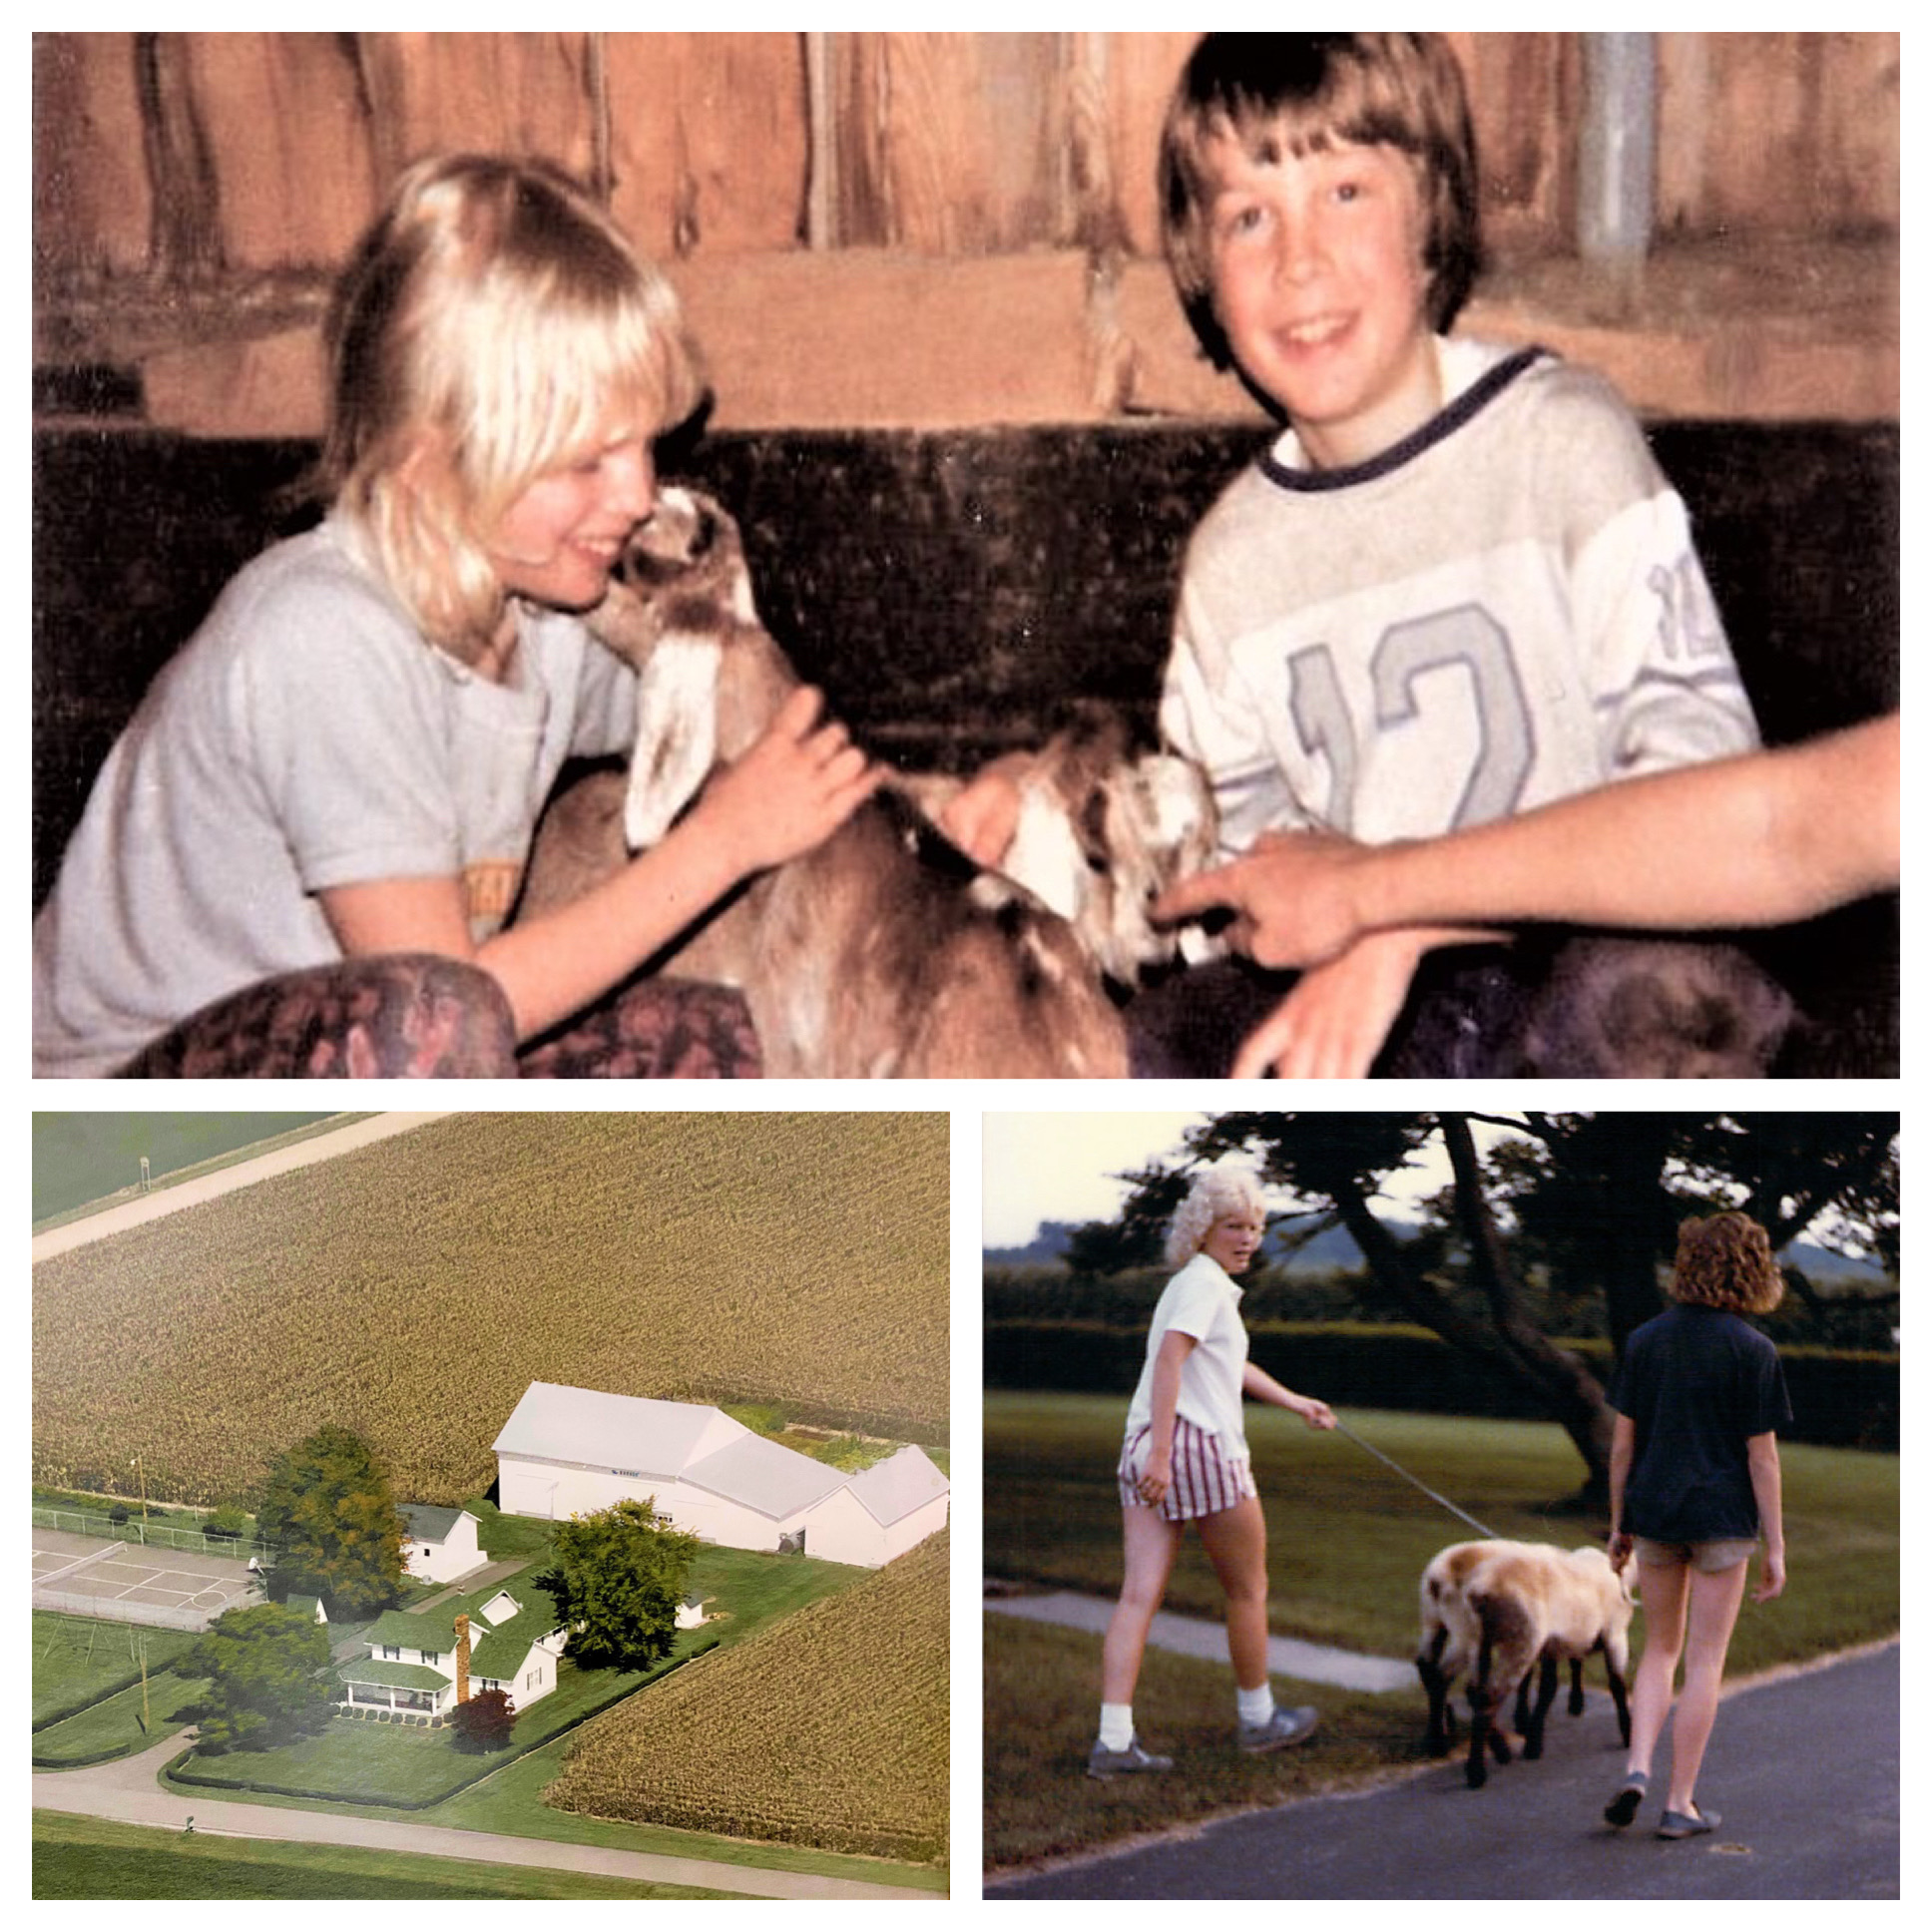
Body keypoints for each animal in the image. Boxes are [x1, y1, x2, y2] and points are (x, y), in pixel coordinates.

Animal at [1414, 1538, 1638, 1792]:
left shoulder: (1552, 1643)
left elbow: (1549, 1685)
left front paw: (1535, 1729)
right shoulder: (1615, 1634)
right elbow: (1617, 1686)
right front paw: (1627, 1733)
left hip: (1455, 1629)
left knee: (1441, 1676)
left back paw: (1439, 1742)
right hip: (1514, 1635)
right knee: (1485, 1695)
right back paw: (1480, 1769)